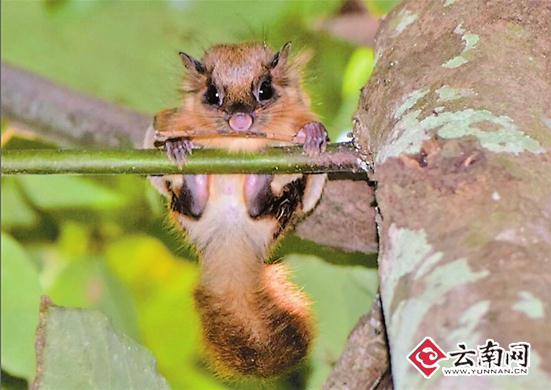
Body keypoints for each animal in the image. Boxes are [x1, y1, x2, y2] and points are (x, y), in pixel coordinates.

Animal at [144, 40, 330, 378]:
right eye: (213, 94)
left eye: (264, 90)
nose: (240, 120)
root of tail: (230, 235)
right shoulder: (163, 122)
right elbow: (167, 130)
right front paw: (178, 142)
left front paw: (311, 133)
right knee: (190, 203)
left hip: (295, 199)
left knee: (265, 203)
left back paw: (264, 178)